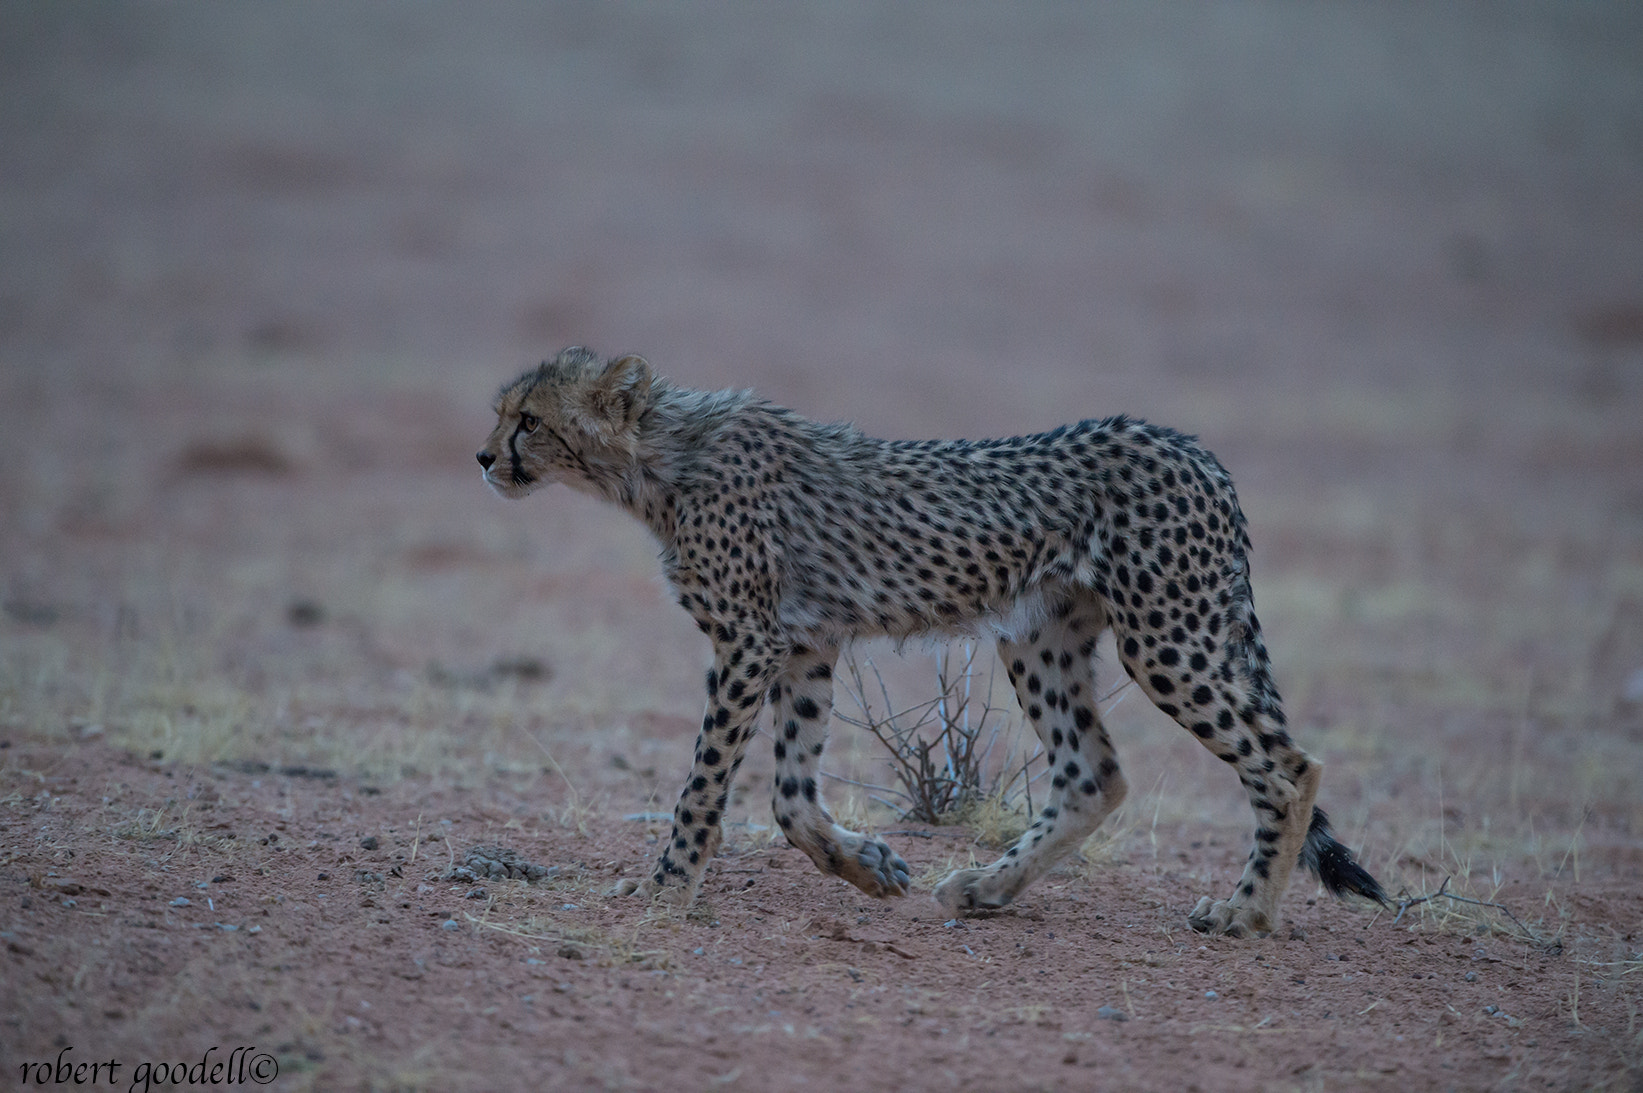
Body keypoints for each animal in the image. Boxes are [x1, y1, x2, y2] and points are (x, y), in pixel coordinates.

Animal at [479, 345, 1386, 933]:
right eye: (502, 414)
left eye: (530, 419)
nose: (484, 457)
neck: (662, 457)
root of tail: (1190, 447)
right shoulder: (805, 643)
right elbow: (790, 796)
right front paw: (867, 868)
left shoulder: (747, 642)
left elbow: (705, 786)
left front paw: (667, 888)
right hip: (1039, 635)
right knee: (1093, 773)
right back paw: (985, 888)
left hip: (1165, 635)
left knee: (1287, 764)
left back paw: (1247, 910)